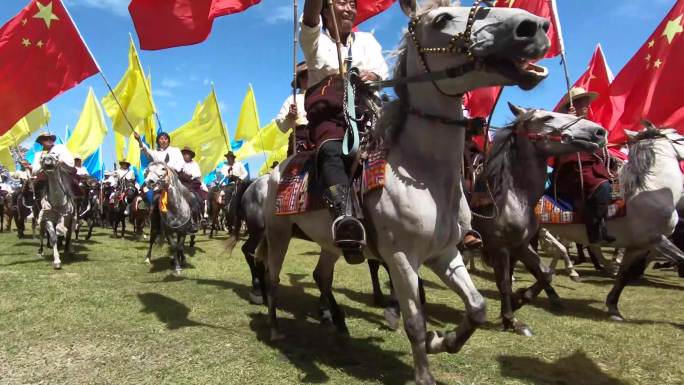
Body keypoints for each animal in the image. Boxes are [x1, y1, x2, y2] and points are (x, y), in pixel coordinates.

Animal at [260, 1, 548, 382]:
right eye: (442, 19)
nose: (533, 27)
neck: (422, 174)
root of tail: (277, 171)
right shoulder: (401, 258)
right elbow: (414, 321)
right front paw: (425, 370)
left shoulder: (446, 254)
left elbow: (477, 306)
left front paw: (443, 340)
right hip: (278, 233)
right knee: (273, 277)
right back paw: (276, 328)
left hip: (330, 243)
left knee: (321, 276)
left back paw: (339, 325)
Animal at [472, 103, 608, 334]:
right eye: (547, 118)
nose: (599, 132)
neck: (512, 198)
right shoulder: (499, 247)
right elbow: (504, 282)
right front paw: (511, 319)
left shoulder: (521, 245)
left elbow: (544, 273)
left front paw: (520, 299)